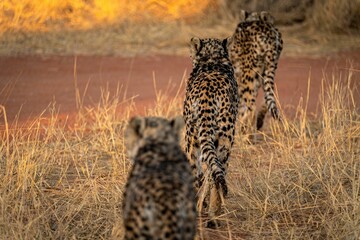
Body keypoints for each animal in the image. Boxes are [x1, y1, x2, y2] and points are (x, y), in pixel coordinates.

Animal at [183, 37, 239, 227]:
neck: (213, 59)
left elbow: (205, 173)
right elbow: (212, 173)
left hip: (191, 138)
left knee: (195, 172)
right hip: (225, 139)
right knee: (218, 173)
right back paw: (214, 215)